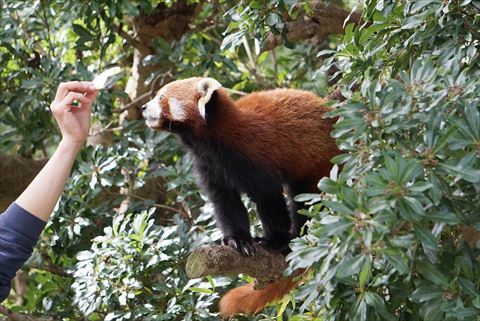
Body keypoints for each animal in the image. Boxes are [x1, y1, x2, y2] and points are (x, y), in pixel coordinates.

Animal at [141, 77, 340, 316]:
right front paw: (237, 240)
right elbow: (226, 204)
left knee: (306, 200)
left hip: (320, 165)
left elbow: (269, 199)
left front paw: (275, 241)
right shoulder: (210, 166)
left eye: (161, 97)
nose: (143, 108)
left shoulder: (255, 155)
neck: (211, 141)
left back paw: (299, 237)